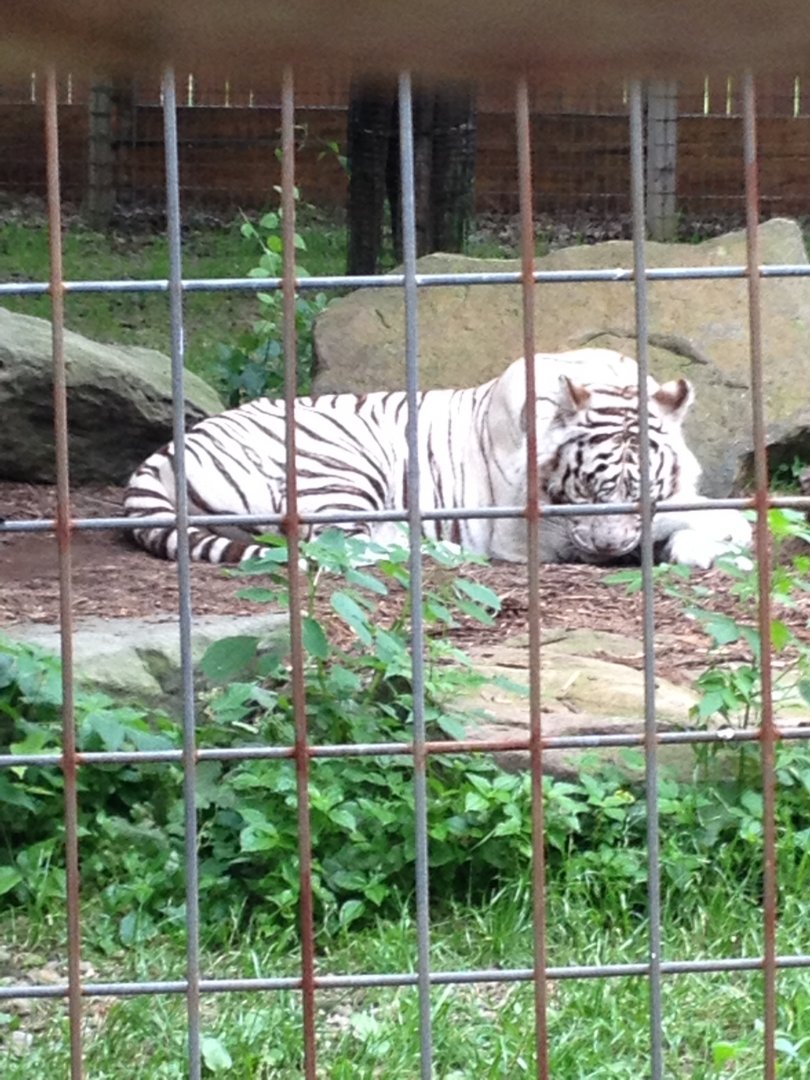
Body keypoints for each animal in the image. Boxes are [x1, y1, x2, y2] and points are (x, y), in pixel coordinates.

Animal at [123, 348, 751, 568]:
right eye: (589, 489)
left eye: (638, 489)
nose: (611, 549)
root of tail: (169, 450)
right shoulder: (534, 531)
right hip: (342, 463)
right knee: (338, 544)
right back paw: (438, 549)